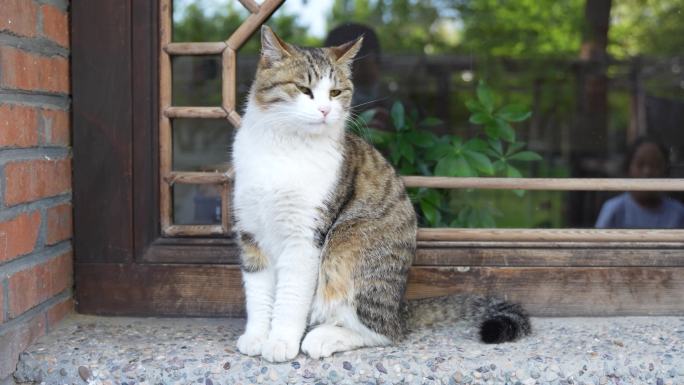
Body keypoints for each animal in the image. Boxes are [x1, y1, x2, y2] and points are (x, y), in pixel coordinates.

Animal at [232, 25, 532, 362]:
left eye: (335, 93)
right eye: (304, 89)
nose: (325, 110)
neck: (285, 147)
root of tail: (400, 309)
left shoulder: (304, 238)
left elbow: (291, 296)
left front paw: (281, 341)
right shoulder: (250, 232)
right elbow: (258, 293)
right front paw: (257, 337)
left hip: (345, 249)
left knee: (383, 332)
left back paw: (323, 338)